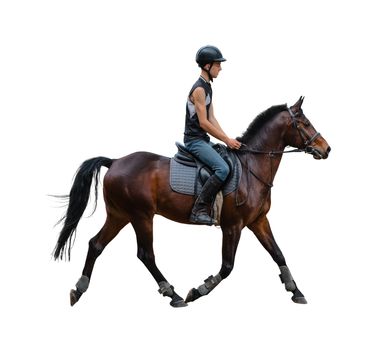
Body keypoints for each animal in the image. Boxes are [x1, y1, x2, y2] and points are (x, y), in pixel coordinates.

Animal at [53, 96, 332, 306]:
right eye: (305, 123)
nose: (326, 148)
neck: (251, 167)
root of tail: (115, 162)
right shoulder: (233, 226)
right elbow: (227, 266)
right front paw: (198, 290)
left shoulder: (258, 221)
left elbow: (278, 253)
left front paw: (295, 290)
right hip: (141, 216)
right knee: (145, 254)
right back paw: (173, 294)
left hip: (120, 215)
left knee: (96, 244)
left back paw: (79, 289)